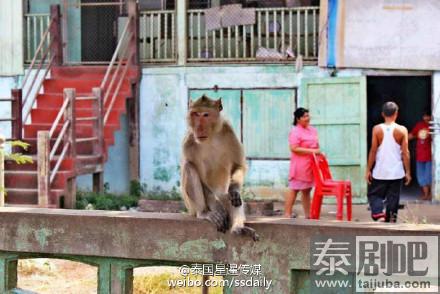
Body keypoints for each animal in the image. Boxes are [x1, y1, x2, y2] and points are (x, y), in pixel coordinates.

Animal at [181, 94, 260, 241]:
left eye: (205, 115)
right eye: (195, 114)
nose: (199, 128)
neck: (210, 136)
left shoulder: (229, 131)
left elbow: (238, 165)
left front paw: (234, 189)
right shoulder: (189, 142)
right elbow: (199, 176)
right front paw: (216, 207)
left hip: (223, 196)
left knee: (233, 200)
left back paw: (238, 227)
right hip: (191, 207)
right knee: (189, 167)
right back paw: (205, 213)